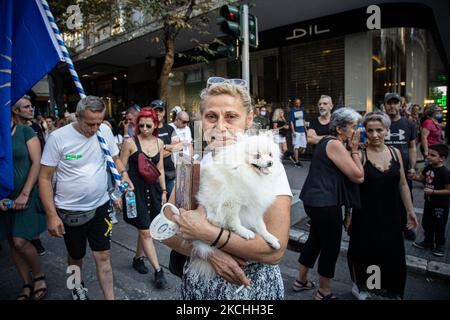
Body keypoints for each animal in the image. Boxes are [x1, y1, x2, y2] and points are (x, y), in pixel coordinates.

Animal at [189, 130, 282, 278]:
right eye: (257, 156)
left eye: (270, 154)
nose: (270, 163)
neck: (250, 174)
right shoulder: (232, 202)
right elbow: (234, 222)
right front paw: (244, 232)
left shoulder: (255, 208)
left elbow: (261, 226)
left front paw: (270, 238)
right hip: (209, 201)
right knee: (212, 218)